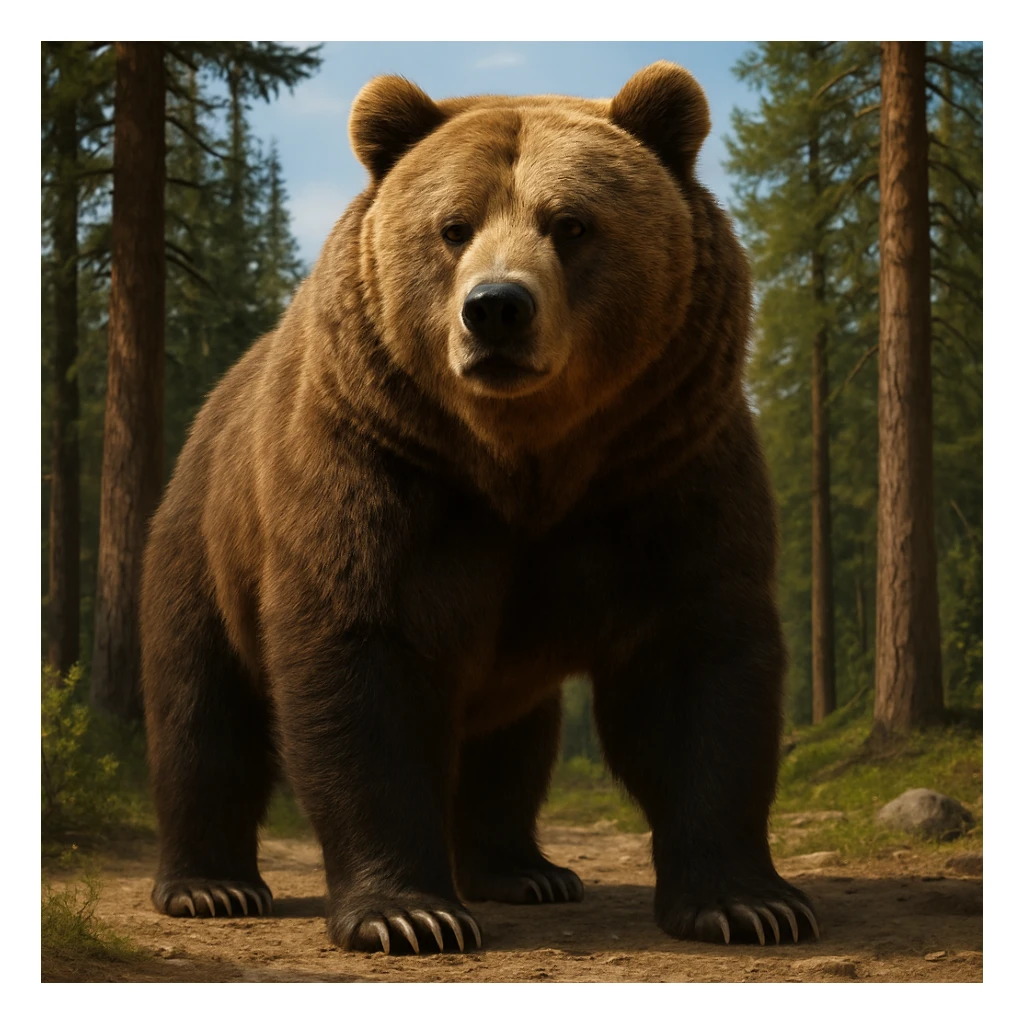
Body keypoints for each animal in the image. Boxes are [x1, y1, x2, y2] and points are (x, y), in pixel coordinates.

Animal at [140, 61, 819, 954]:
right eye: (453, 227)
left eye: (571, 223)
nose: (496, 307)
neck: (522, 461)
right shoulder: (382, 470)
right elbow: (365, 668)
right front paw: (407, 914)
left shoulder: (665, 460)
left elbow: (696, 662)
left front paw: (749, 903)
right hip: (206, 546)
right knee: (200, 713)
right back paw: (210, 885)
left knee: (513, 743)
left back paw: (523, 871)